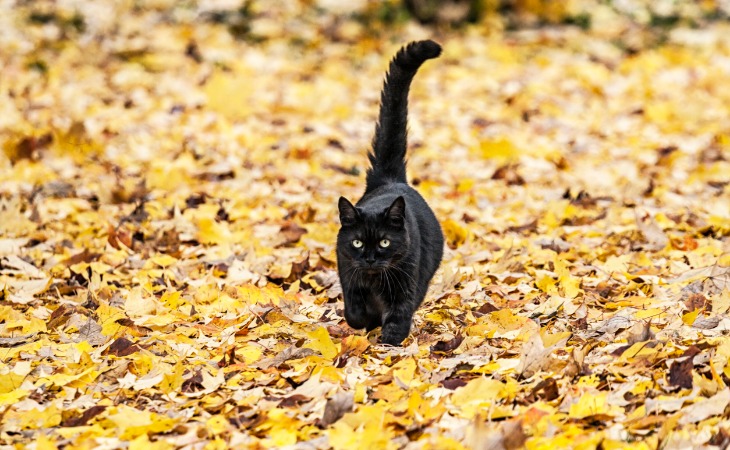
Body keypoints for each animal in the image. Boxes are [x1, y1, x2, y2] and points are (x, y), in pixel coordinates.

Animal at [336, 41, 444, 344]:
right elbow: (353, 310)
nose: (371, 258)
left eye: (384, 242)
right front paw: (365, 324)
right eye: (357, 242)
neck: (374, 280)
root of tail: (390, 179)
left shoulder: (406, 282)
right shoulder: (348, 272)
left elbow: (399, 312)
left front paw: (389, 342)